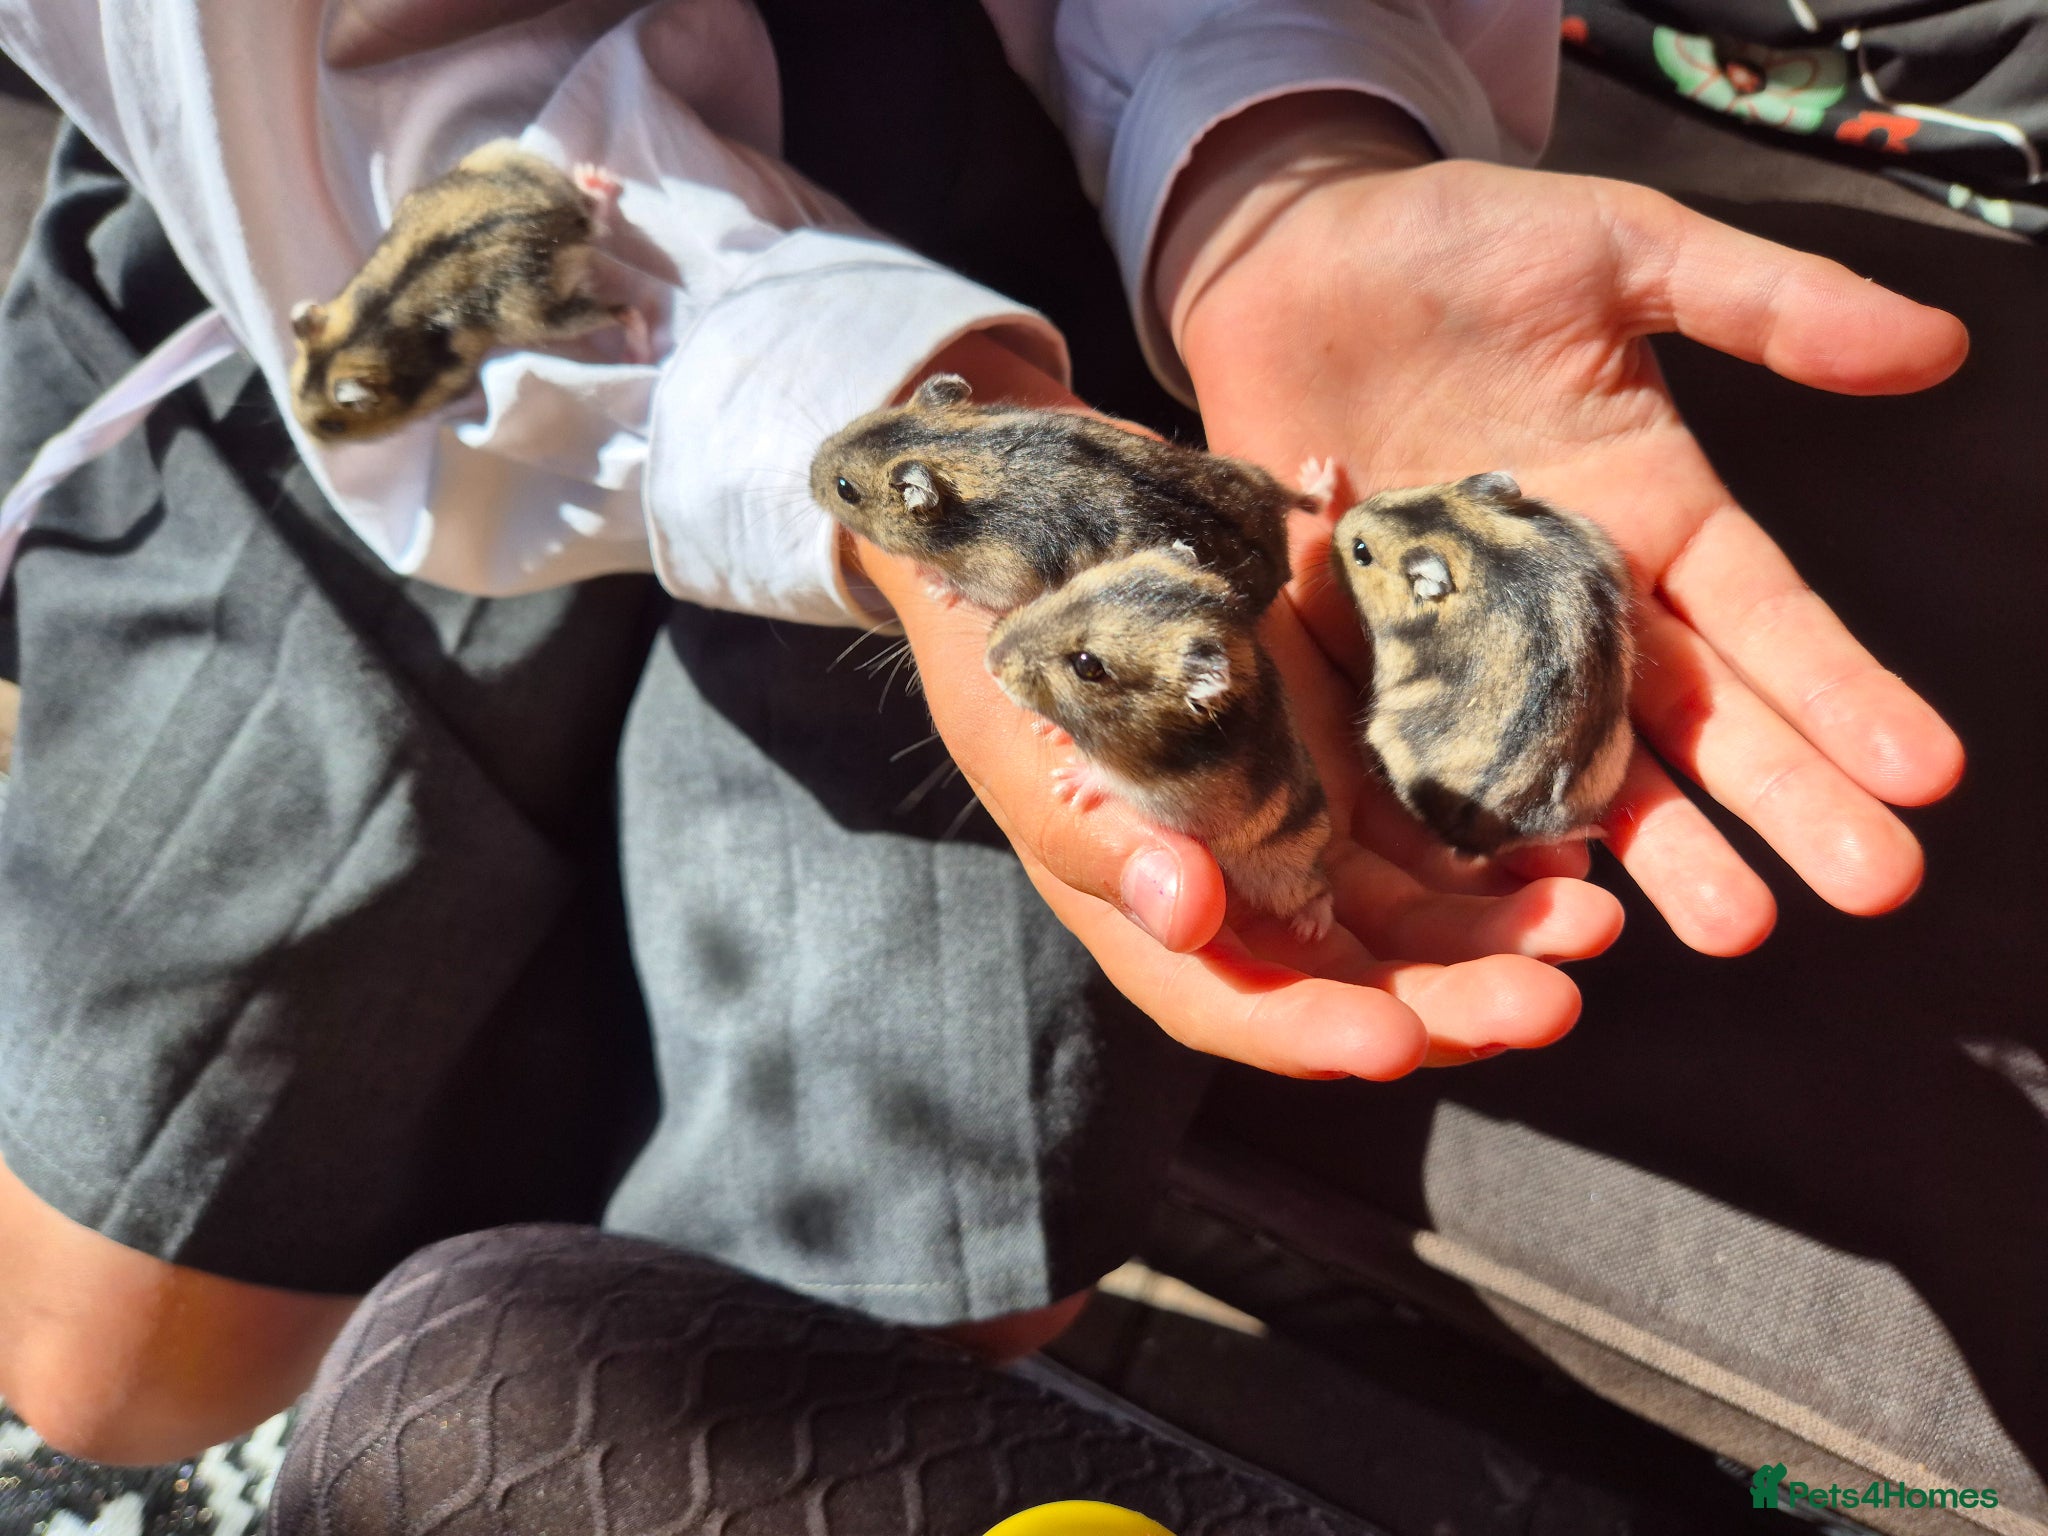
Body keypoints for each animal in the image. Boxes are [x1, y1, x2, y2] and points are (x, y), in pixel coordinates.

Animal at [289, 140, 647, 443]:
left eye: (333, 426)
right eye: (292, 390)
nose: (309, 440)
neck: (356, 339)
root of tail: (564, 222)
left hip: (537, 316)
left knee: (623, 310)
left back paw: (637, 353)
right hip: (506, 160)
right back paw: (594, 176)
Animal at [811, 374, 1306, 614]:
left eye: (844, 489)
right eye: (863, 420)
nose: (809, 474)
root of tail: (1281, 562)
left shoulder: (1001, 578)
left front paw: (935, 587)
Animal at [986, 547, 1334, 941]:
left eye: (1087, 665)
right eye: (1071, 585)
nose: (990, 659)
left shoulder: (1173, 802)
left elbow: (1111, 780)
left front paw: (1069, 783)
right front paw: (1049, 731)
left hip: (1280, 874)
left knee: (1319, 889)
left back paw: (1311, 929)